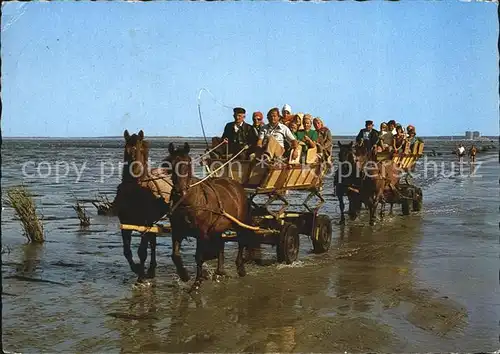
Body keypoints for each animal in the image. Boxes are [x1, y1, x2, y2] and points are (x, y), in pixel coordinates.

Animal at [114, 129, 173, 284]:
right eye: (127, 150)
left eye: (141, 150)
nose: (134, 171)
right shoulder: (125, 224)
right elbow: (127, 251)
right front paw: (136, 269)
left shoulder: (145, 224)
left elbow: (142, 251)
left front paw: (141, 275)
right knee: (153, 241)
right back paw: (151, 270)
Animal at [167, 142, 252, 292]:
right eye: (170, 163)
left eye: (188, 163)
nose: (179, 191)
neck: (187, 201)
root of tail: (234, 183)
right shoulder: (177, 231)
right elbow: (175, 255)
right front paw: (184, 275)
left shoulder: (201, 232)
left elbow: (200, 256)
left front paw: (197, 282)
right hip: (218, 228)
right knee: (220, 244)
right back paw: (220, 271)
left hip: (239, 221)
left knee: (241, 241)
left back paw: (240, 267)